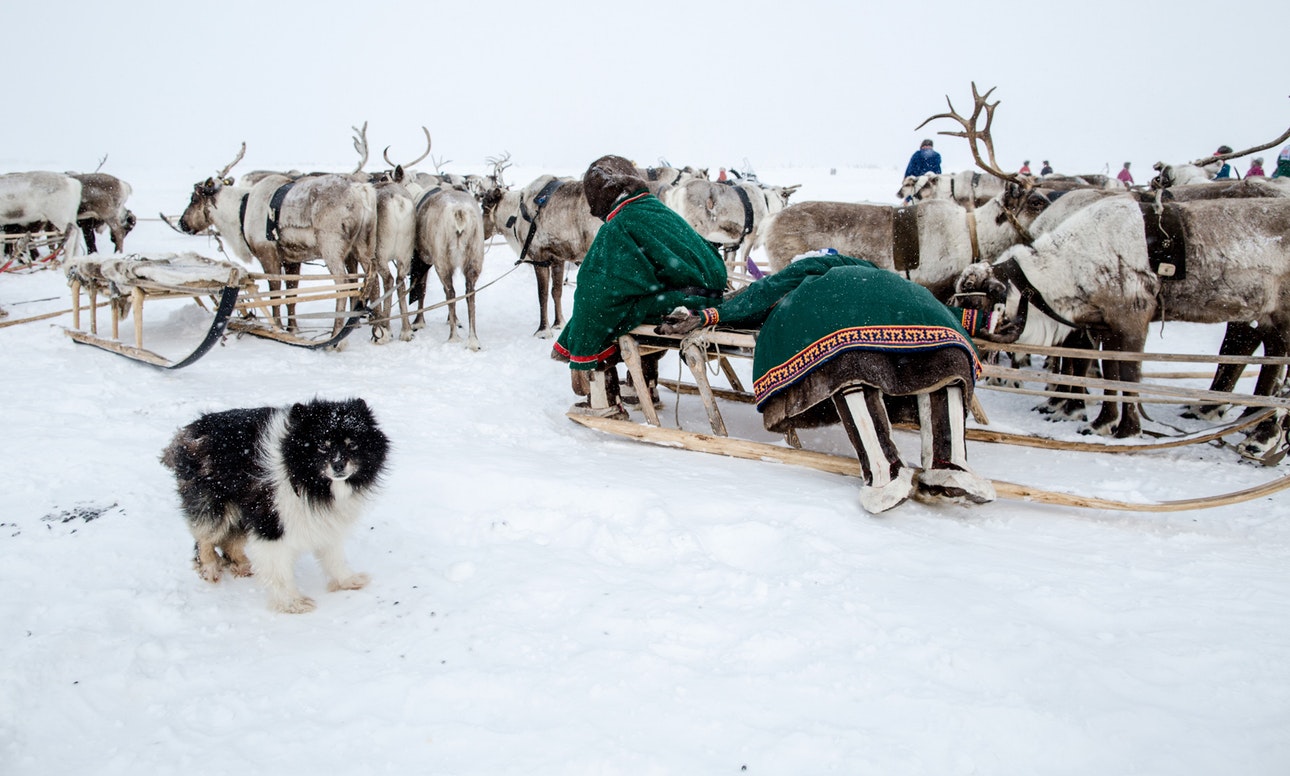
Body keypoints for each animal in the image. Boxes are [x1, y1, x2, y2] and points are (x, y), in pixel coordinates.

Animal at [159, 399, 387, 611]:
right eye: (323, 445)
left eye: (352, 444)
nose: (339, 465)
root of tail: (189, 432)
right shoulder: (271, 520)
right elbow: (279, 570)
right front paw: (292, 603)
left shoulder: (323, 520)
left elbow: (333, 555)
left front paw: (347, 581)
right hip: (215, 503)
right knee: (204, 538)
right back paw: (210, 569)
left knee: (229, 542)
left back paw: (243, 566)